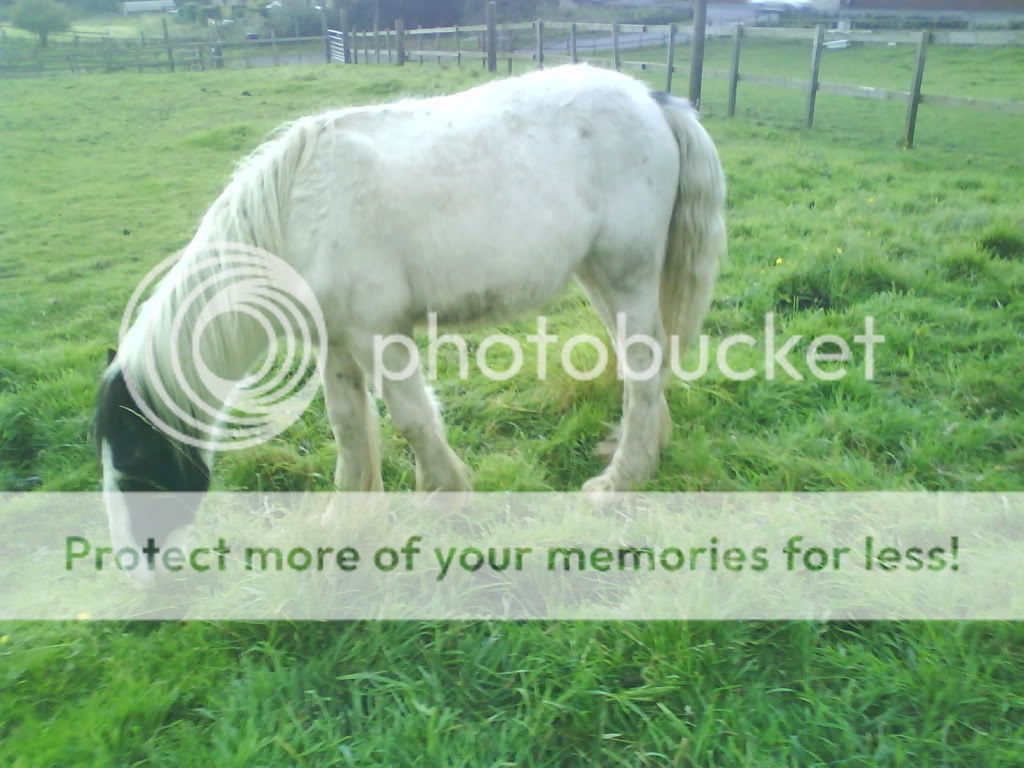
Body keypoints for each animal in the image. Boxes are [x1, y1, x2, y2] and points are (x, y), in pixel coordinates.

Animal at [94, 66, 720, 561]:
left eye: (135, 463)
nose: (136, 571)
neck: (298, 214)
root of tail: (651, 100)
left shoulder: (379, 334)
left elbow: (412, 418)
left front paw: (444, 495)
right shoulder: (336, 343)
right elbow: (349, 425)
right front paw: (347, 515)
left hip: (625, 274)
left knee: (643, 368)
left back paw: (620, 481)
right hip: (599, 278)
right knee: (647, 366)